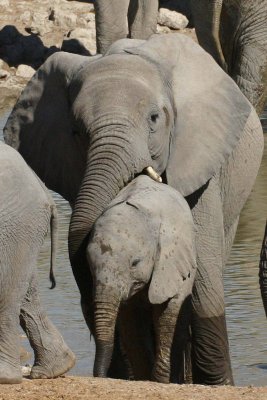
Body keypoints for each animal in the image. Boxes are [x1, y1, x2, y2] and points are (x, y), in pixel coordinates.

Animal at [0, 141, 75, 384]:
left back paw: (6, 376)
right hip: (22, 228)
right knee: (26, 290)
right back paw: (56, 368)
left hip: (16, 225)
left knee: (8, 291)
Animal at [87, 175, 197, 382]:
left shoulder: (170, 265)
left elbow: (166, 315)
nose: (101, 376)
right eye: (90, 265)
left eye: (135, 263)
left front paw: (160, 381)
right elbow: (132, 325)